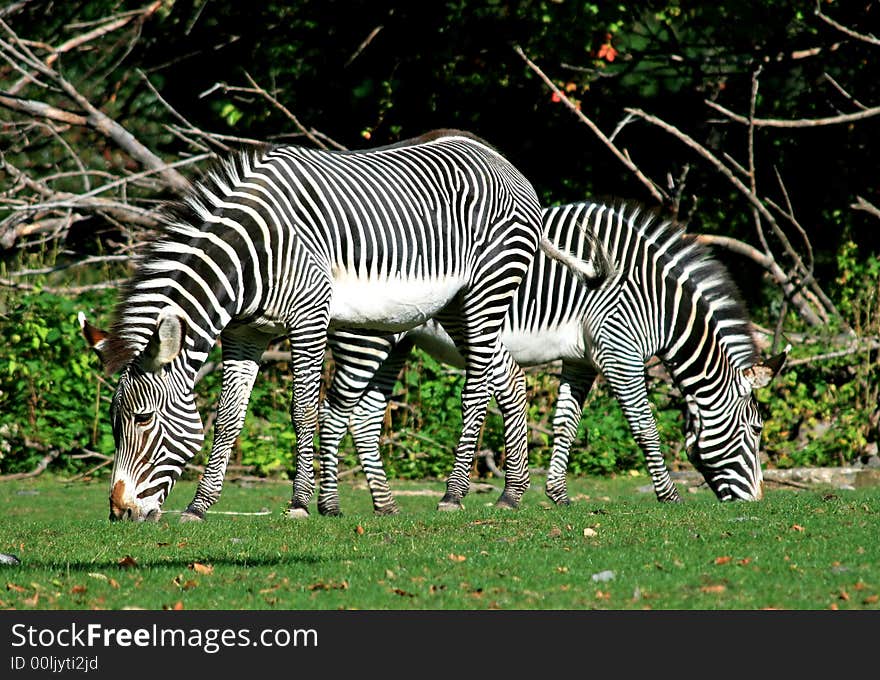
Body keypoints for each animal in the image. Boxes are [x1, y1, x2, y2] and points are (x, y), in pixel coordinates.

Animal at [79, 130, 608, 524]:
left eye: (143, 420)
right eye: (114, 422)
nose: (119, 513)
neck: (251, 255)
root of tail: (501, 160)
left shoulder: (309, 314)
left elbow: (303, 411)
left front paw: (299, 505)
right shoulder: (245, 332)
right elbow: (228, 418)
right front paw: (200, 507)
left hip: (488, 288)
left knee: (479, 385)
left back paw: (459, 495)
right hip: (454, 305)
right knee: (510, 377)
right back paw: (508, 494)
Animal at [316, 198, 792, 516]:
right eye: (755, 429)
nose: (756, 504)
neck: (658, 302)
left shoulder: (582, 358)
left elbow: (567, 423)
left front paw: (558, 495)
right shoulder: (620, 350)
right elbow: (644, 425)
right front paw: (669, 496)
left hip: (397, 340)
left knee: (365, 416)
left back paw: (385, 505)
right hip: (367, 337)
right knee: (339, 409)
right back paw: (329, 505)